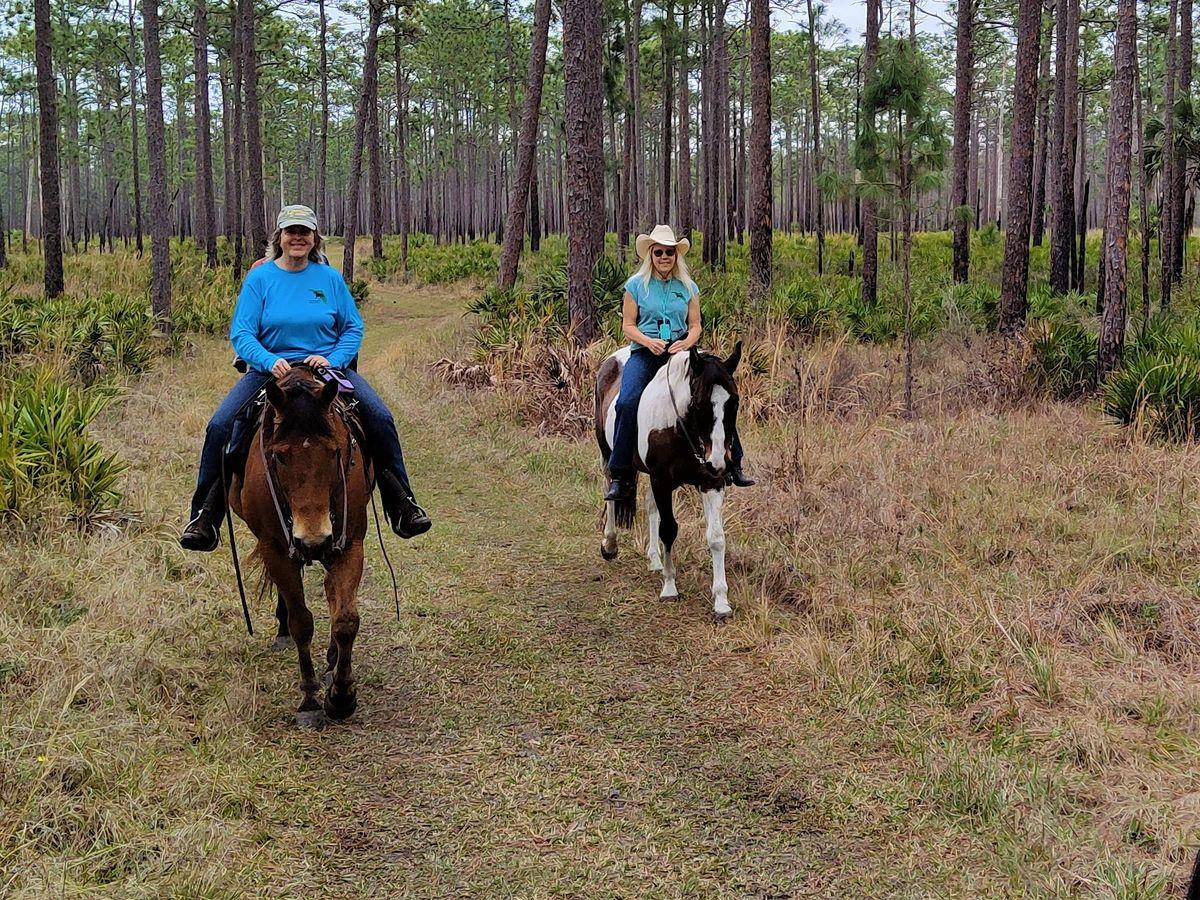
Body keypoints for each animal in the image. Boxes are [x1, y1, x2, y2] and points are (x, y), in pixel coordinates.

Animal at [226, 369, 369, 729]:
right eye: (278, 455)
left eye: (334, 451)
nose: (313, 540)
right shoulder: (275, 548)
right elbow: (301, 622)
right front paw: (310, 701)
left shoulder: (349, 544)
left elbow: (345, 618)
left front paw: (341, 697)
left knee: (331, 591)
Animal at [592, 343, 739, 619]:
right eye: (700, 403)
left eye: (734, 403)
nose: (718, 462)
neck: (679, 426)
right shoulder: (661, 480)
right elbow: (668, 530)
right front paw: (670, 587)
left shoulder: (710, 482)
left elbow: (716, 537)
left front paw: (721, 601)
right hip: (607, 455)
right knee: (611, 493)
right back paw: (610, 545)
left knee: (650, 507)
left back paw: (655, 560)